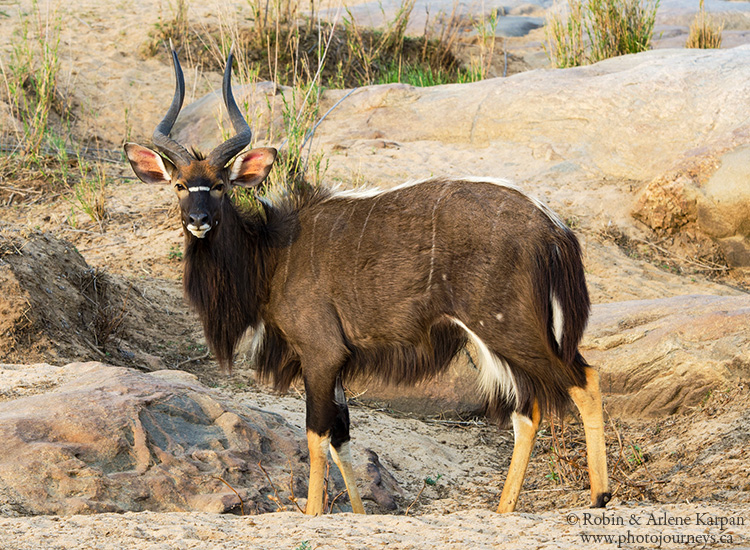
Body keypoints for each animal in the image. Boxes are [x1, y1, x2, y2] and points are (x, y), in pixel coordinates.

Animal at [128, 49, 612, 516]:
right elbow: (341, 436)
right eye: (178, 185)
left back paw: (600, 496)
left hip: (507, 327)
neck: (272, 254)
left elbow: (316, 435)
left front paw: (314, 513)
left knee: (582, 379)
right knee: (528, 409)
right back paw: (504, 509)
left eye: (221, 186)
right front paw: (358, 513)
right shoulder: (336, 363)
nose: (198, 221)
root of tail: (553, 229)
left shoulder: (321, 352)